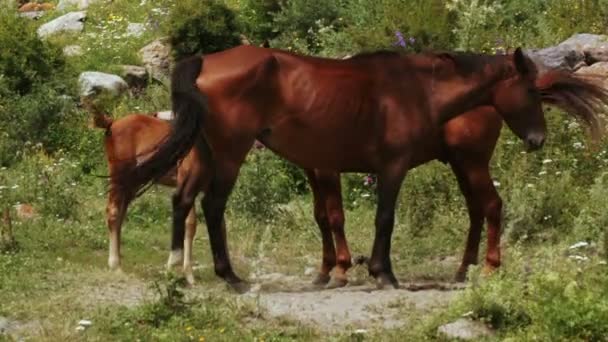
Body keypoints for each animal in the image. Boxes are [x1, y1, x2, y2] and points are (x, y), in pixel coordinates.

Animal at [128, 45, 604, 292]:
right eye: (530, 89)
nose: (537, 139)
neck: (418, 88)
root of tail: (206, 60)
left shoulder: (332, 168)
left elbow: (336, 218)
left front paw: (344, 271)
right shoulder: (389, 168)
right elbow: (381, 218)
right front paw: (381, 272)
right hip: (228, 154)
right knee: (211, 206)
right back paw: (231, 277)